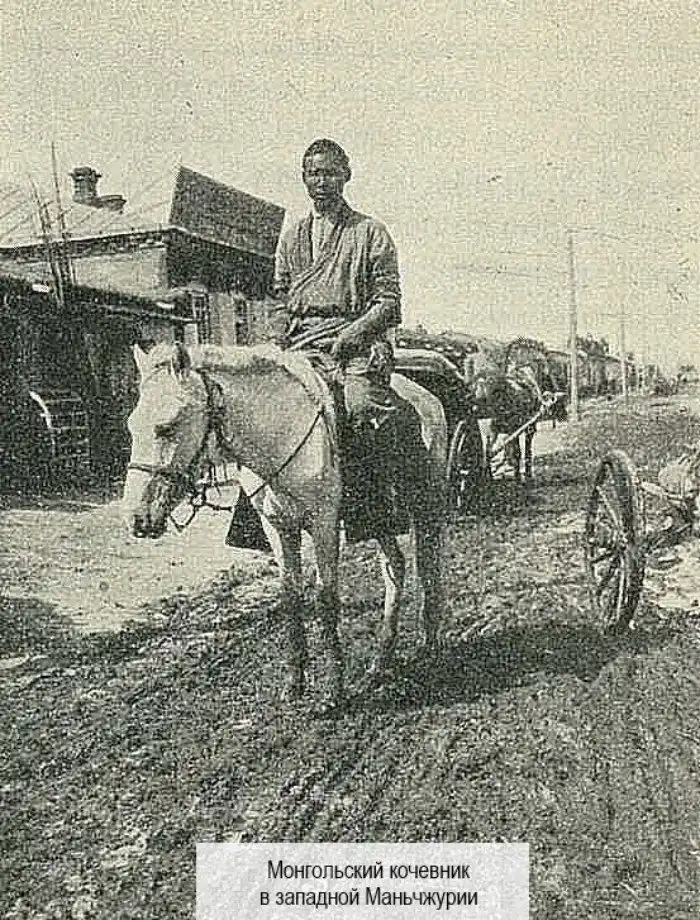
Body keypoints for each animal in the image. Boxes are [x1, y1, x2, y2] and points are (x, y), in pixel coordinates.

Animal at [122, 341, 447, 708]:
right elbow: (290, 596)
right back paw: (380, 661)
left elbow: (326, 599)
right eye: (132, 426)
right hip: (378, 521)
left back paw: (429, 645)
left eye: (168, 426)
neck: (280, 438)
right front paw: (295, 683)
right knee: (395, 567)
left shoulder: (323, 525)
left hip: (427, 508)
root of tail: (427, 399)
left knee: (429, 568)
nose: (137, 518)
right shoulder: (278, 528)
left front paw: (333, 691)